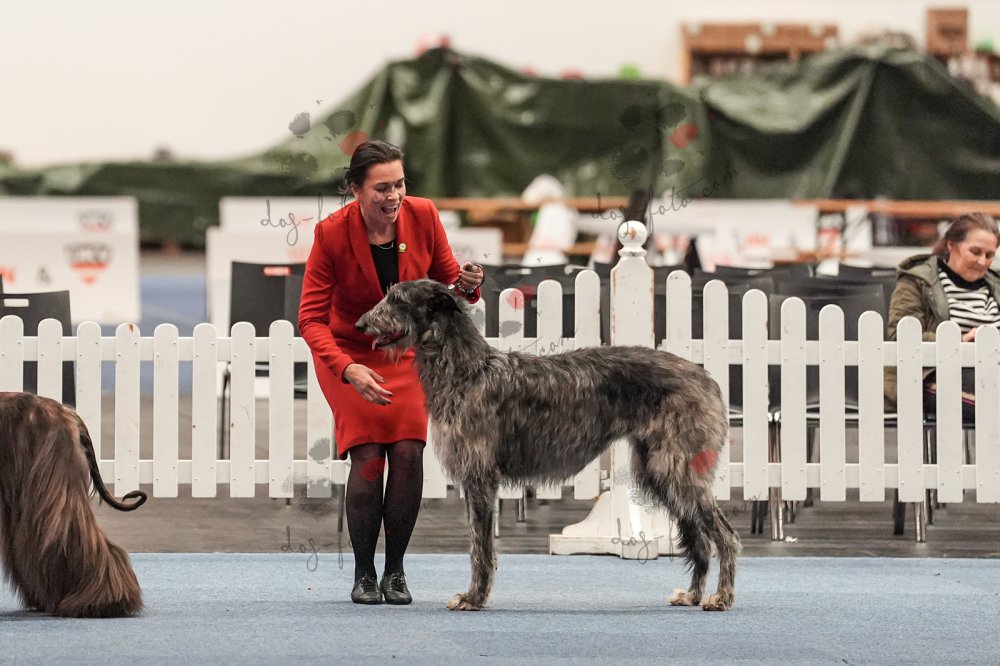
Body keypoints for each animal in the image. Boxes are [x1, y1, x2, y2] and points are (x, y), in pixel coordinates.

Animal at [356, 279, 739, 611]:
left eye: (397, 299)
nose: (360, 323)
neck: (469, 370)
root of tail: (706, 377)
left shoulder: (480, 477)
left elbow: (480, 546)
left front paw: (473, 597)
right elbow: (479, 543)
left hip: (677, 466)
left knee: (725, 535)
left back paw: (721, 597)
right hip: (659, 469)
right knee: (700, 539)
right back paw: (692, 595)